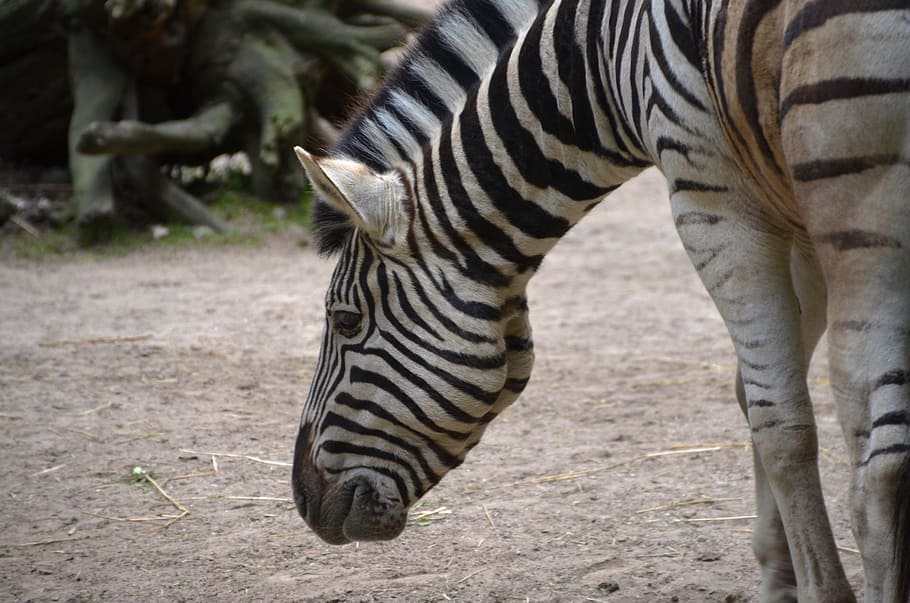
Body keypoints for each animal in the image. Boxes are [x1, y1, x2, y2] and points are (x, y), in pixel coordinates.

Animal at [290, 0, 910, 600]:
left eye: (345, 320)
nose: (301, 498)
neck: (596, 57)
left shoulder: (714, 198)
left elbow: (779, 420)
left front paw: (811, 585)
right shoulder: (788, 210)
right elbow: (754, 389)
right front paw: (778, 576)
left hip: (856, 203)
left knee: (879, 467)